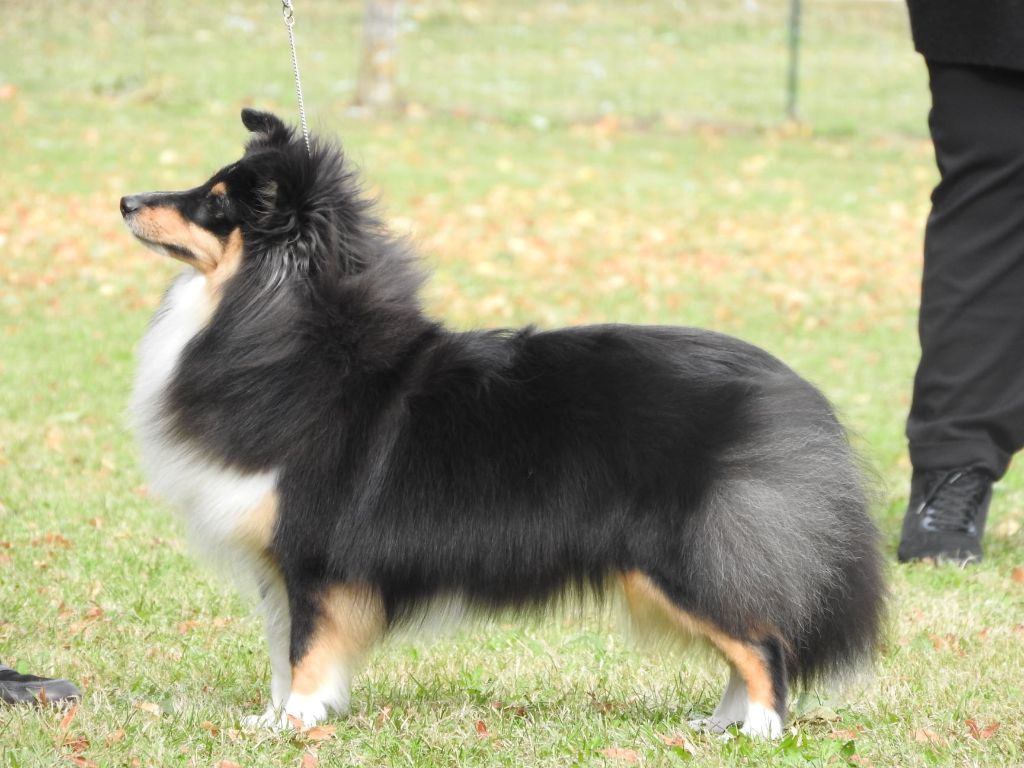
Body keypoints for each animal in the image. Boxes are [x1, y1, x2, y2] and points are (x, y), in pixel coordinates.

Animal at [121, 109, 884, 738]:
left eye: (216, 202)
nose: (125, 200)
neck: (287, 322)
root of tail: (799, 396)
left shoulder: (313, 550)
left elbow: (306, 645)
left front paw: (299, 722)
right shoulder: (277, 561)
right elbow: (282, 648)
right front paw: (275, 718)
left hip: (686, 554)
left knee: (763, 642)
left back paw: (761, 729)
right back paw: (722, 723)